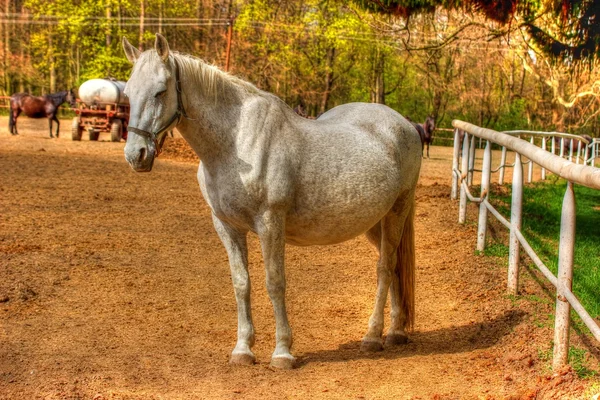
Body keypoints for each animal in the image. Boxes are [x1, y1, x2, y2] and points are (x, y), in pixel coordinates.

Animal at [120, 33, 422, 368]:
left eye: (161, 91)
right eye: (128, 93)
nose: (136, 155)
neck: (236, 143)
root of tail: (404, 125)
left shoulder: (270, 223)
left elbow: (275, 283)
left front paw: (282, 352)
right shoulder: (226, 226)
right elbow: (241, 283)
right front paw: (242, 349)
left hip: (397, 211)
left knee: (385, 268)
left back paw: (373, 336)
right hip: (374, 223)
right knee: (394, 267)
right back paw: (395, 332)